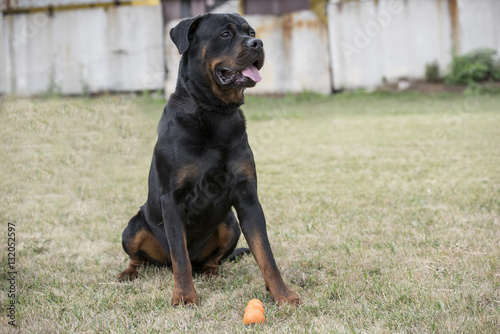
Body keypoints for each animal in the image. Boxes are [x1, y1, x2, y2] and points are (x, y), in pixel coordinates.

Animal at [118, 13, 300, 306]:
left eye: (251, 32)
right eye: (225, 34)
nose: (258, 43)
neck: (215, 113)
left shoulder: (248, 198)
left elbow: (266, 253)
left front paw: (282, 294)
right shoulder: (172, 199)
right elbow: (180, 257)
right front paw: (184, 296)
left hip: (230, 224)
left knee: (211, 259)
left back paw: (211, 271)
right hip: (133, 228)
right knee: (143, 258)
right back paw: (128, 273)